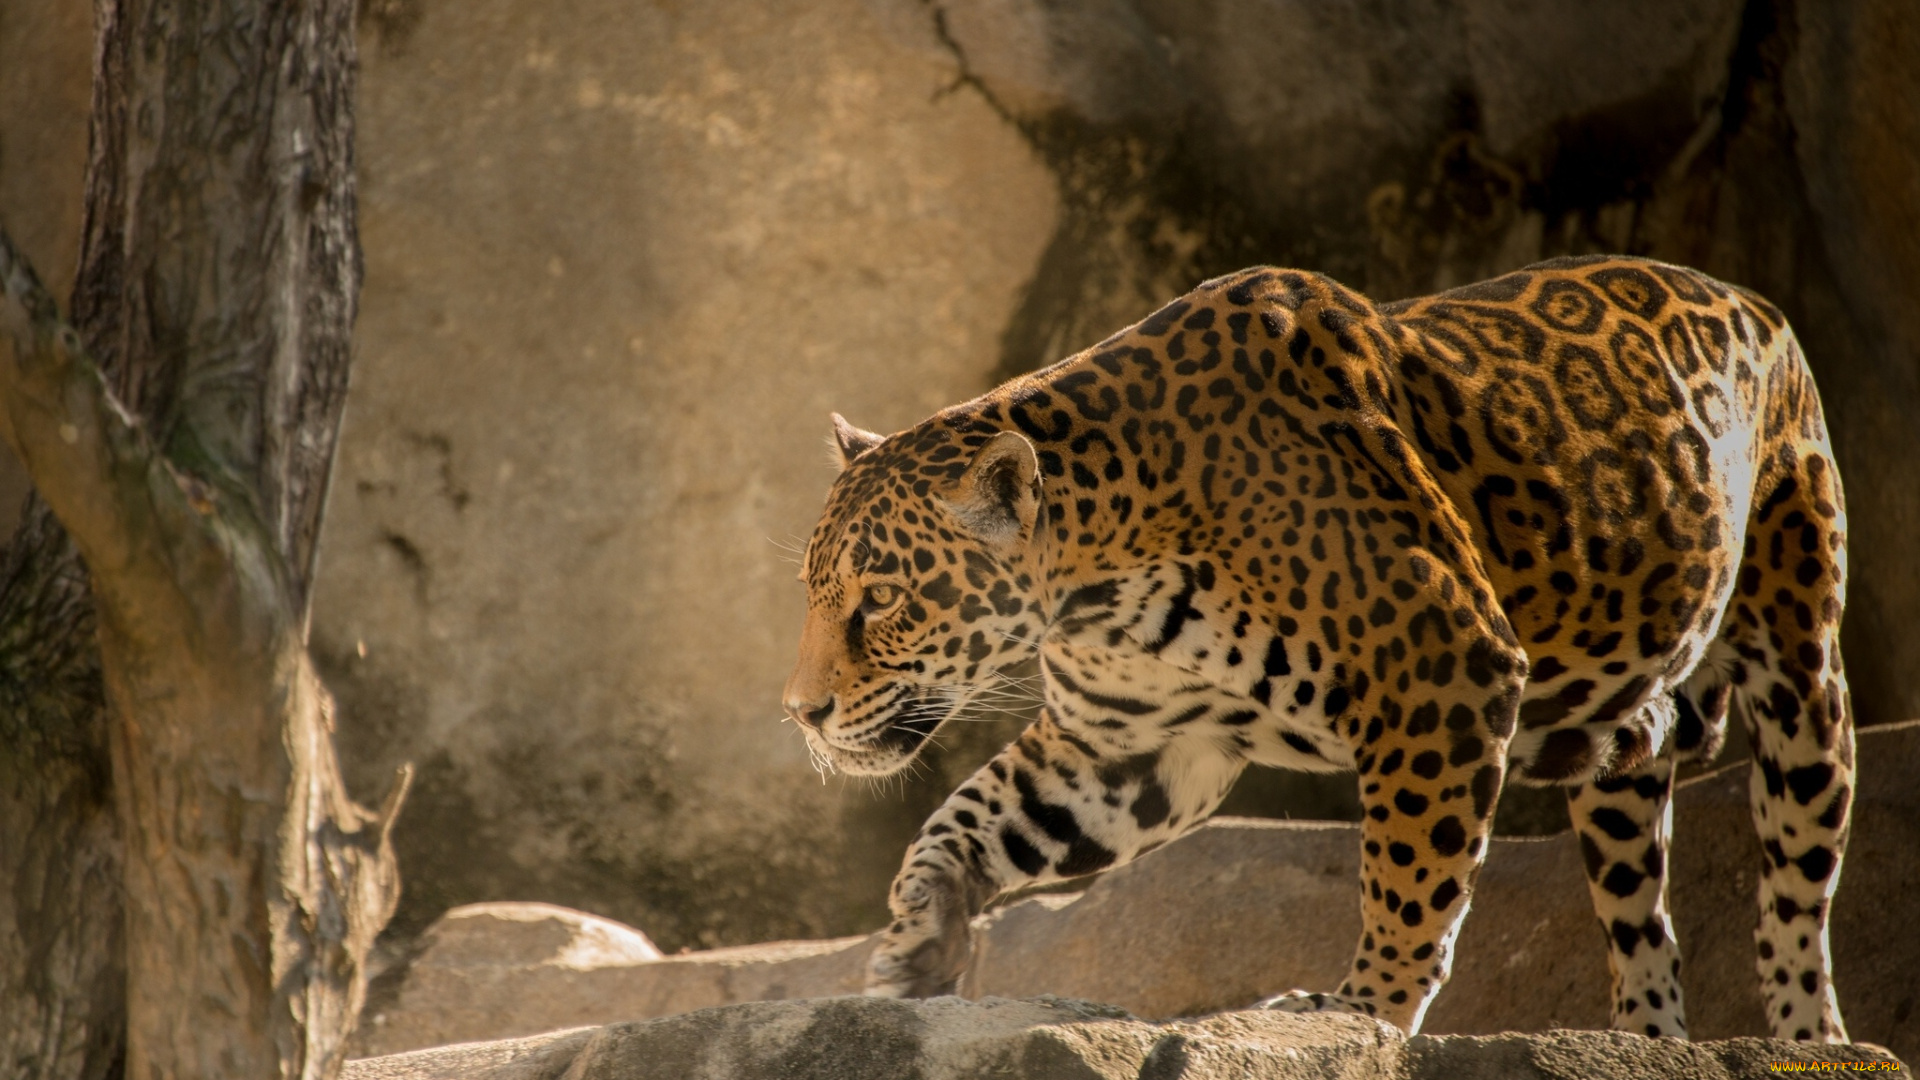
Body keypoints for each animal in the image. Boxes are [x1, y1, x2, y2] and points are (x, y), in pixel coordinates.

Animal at [781, 255, 1855, 1041]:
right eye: (813, 595)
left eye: (881, 600)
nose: (802, 713)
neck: (1102, 575)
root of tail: (1756, 302)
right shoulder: (1125, 749)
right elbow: (969, 819)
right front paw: (920, 939)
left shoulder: (1441, 669)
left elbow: (1411, 875)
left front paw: (1363, 1010)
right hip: (1620, 764)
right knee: (1645, 919)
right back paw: (1644, 1041)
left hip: (1801, 665)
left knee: (1795, 896)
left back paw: (1812, 1041)